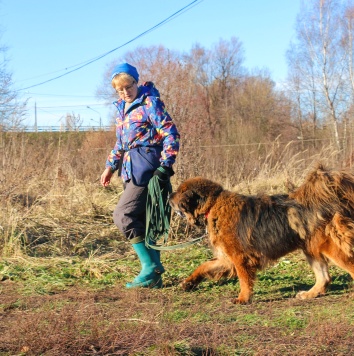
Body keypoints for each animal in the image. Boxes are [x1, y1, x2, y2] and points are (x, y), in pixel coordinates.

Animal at [168, 165, 354, 304]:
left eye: (179, 191)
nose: (169, 195)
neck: (213, 204)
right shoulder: (226, 259)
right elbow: (204, 266)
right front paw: (188, 282)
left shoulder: (239, 258)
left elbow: (244, 280)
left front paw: (243, 299)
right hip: (310, 248)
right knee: (324, 277)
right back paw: (309, 294)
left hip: (332, 248)